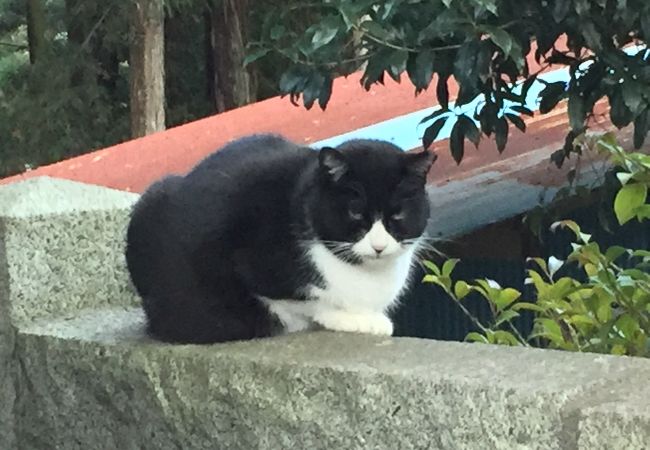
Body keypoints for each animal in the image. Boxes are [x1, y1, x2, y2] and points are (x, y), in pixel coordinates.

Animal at [124, 134, 432, 344]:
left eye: (398, 214)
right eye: (356, 212)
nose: (379, 246)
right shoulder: (253, 262)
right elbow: (306, 299)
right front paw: (358, 320)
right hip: (151, 200)